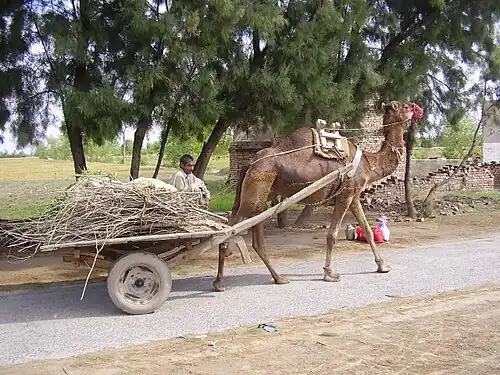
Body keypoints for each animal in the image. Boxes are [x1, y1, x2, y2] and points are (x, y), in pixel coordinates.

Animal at [213, 98, 424, 292]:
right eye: (407, 106)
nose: (419, 109)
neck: (367, 162)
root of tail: (251, 163)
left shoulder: (354, 197)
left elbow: (368, 230)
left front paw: (382, 265)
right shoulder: (345, 195)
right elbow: (332, 235)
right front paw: (329, 273)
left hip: (262, 193)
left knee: (256, 239)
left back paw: (278, 278)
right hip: (257, 187)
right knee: (229, 230)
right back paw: (219, 283)